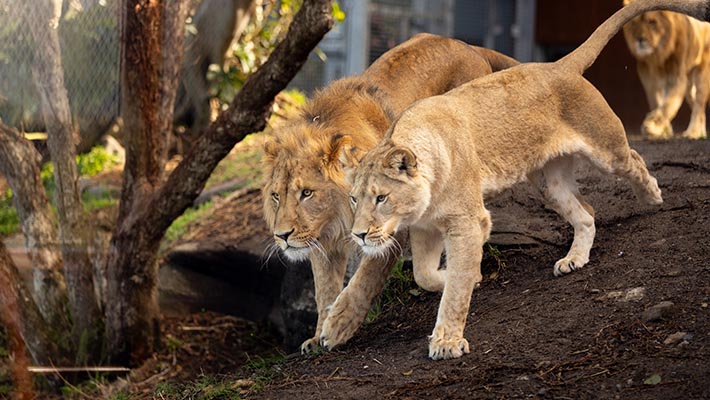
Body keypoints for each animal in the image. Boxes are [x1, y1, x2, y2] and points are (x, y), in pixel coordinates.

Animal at [624, 0, 710, 139]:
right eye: (634, 23)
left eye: (652, 22)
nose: (640, 39)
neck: (657, 56)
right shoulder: (648, 79)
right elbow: (656, 102)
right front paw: (664, 130)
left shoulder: (676, 78)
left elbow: (668, 104)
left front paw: (653, 125)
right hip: (688, 85)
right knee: (696, 105)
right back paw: (700, 132)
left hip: (701, 71)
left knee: (699, 103)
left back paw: (693, 132)